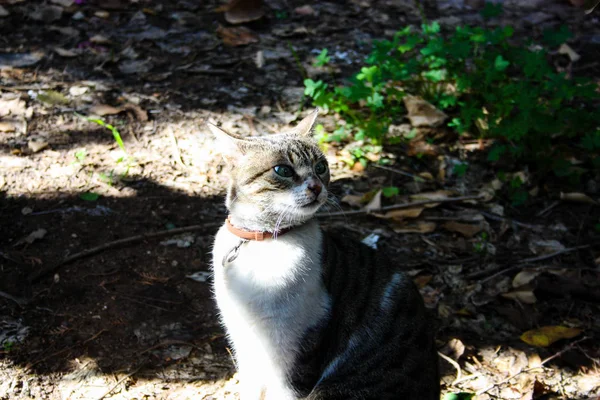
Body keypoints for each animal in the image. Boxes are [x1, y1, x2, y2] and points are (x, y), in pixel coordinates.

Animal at [209, 108, 438, 400]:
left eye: (321, 167)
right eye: (282, 170)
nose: (316, 186)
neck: (265, 242)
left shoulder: (295, 351)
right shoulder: (243, 340)